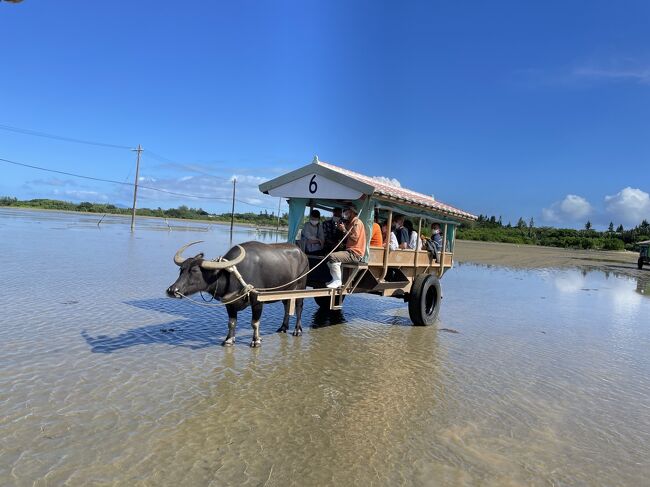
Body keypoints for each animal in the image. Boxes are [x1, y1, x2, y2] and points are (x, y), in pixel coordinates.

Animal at [167, 240, 308, 346]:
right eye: (181, 269)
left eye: (195, 271)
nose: (172, 290)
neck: (230, 274)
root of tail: (302, 254)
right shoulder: (229, 303)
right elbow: (231, 322)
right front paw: (229, 339)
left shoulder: (257, 301)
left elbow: (255, 323)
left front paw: (256, 340)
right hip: (287, 291)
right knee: (286, 306)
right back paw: (283, 327)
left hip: (300, 288)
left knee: (299, 307)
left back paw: (297, 330)